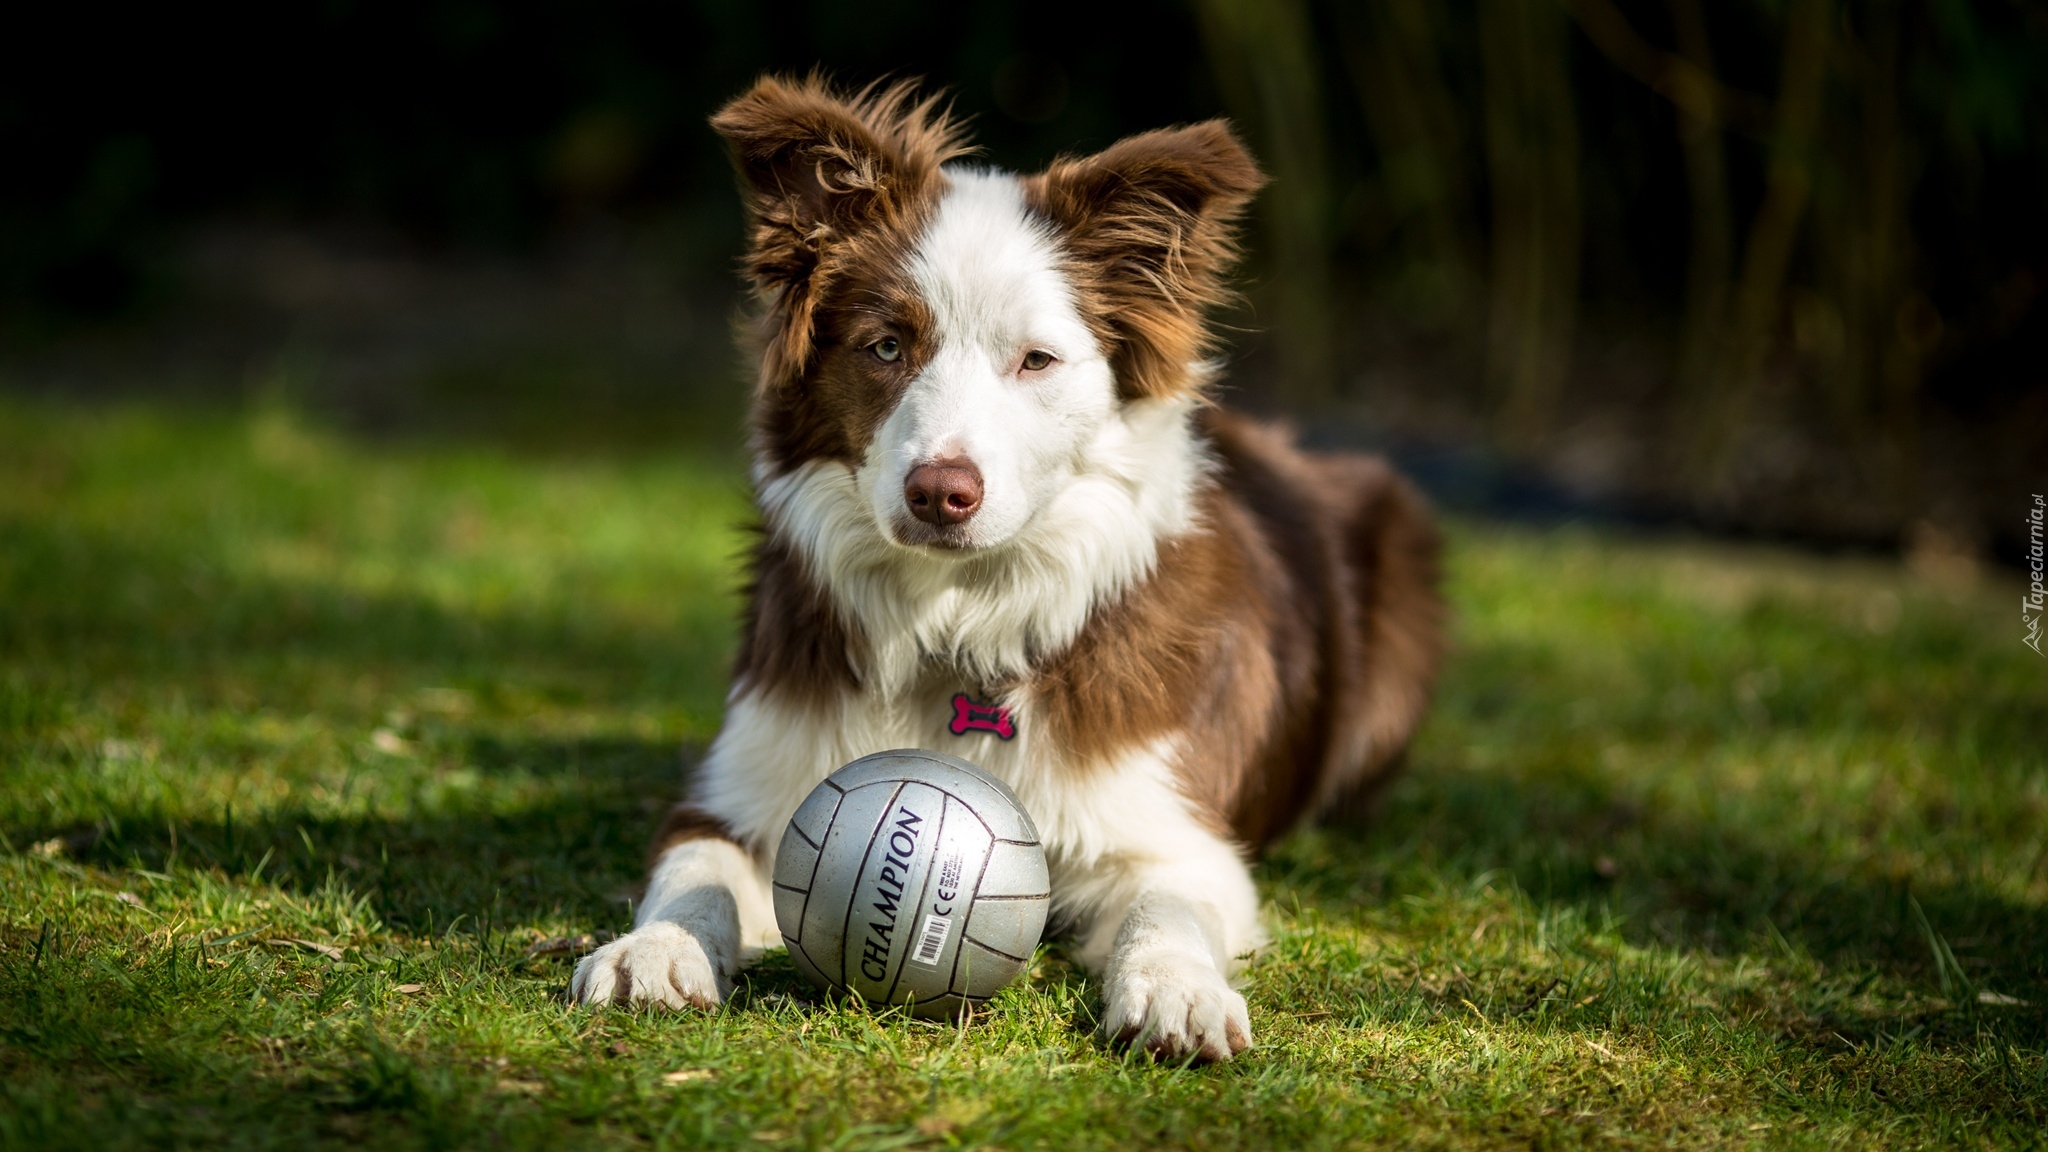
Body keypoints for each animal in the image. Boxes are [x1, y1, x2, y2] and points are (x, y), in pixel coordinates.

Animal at [569, 73, 1449, 1057]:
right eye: (886, 346)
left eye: (1036, 360)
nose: (939, 492)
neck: (956, 616)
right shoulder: (746, 787)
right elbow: (698, 866)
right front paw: (654, 948)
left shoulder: (1177, 834)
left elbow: (1168, 909)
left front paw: (1178, 991)